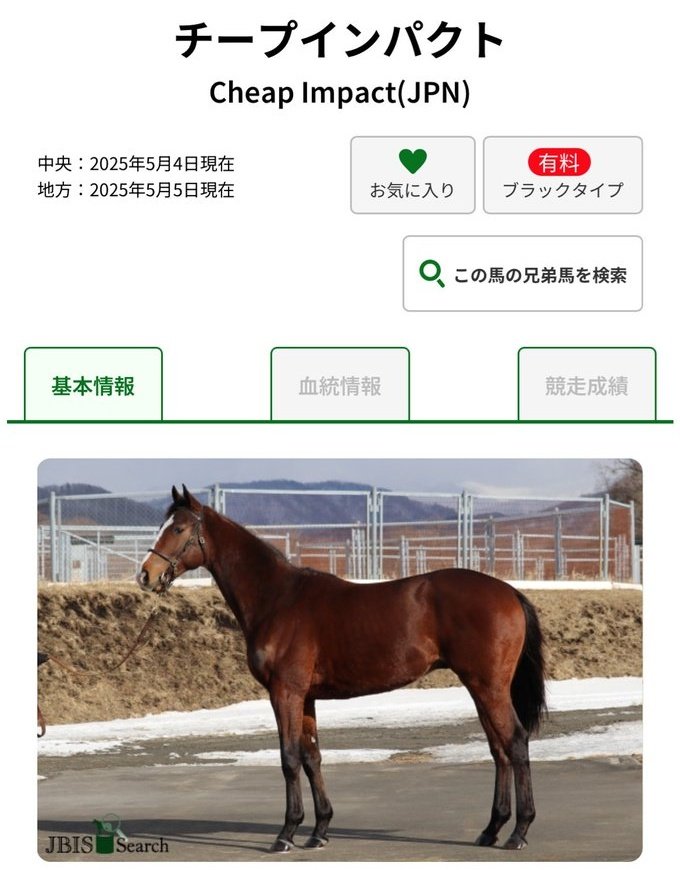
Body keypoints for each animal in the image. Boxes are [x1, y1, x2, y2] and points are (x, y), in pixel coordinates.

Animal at [136, 485, 546, 853]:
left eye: (178, 528)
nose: (145, 576)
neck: (277, 599)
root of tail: (510, 592)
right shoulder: (306, 697)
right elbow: (312, 758)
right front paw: (319, 831)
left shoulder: (284, 693)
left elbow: (289, 758)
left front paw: (286, 834)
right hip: (480, 687)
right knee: (498, 749)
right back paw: (491, 829)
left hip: (488, 686)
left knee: (515, 742)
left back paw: (519, 831)